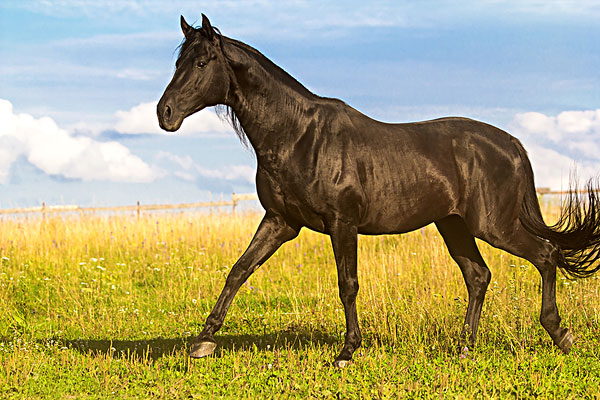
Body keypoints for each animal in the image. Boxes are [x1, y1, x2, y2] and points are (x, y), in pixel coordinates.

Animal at [159, 14, 600, 366]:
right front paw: (203, 340)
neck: (299, 135)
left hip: (494, 226)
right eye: (178, 61)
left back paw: (560, 334)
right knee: (478, 275)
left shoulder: (342, 223)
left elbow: (347, 284)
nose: (164, 113)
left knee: (545, 255)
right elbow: (238, 270)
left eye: (201, 62)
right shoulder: (281, 222)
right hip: (454, 225)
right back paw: (464, 347)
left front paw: (347, 351)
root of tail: (511, 143)